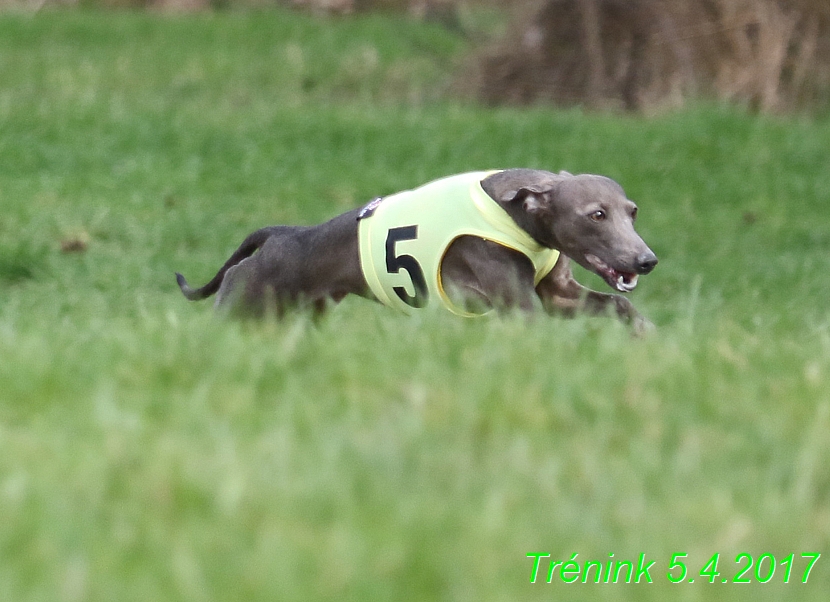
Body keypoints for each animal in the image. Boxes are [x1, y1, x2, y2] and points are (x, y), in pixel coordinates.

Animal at [179, 168, 660, 328]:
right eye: (596, 215)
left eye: (633, 211)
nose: (646, 261)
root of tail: (279, 234)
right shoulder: (518, 305)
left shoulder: (559, 296)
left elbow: (620, 305)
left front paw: (646, 336)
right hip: (241, 306)